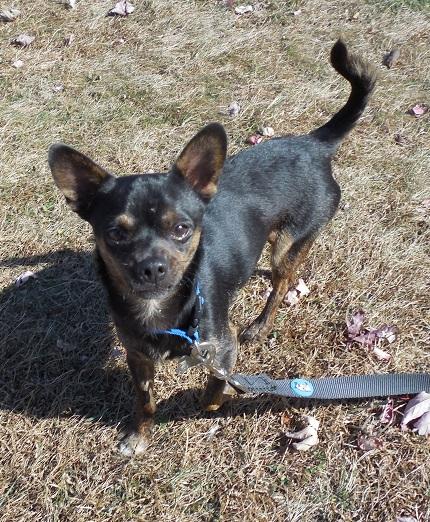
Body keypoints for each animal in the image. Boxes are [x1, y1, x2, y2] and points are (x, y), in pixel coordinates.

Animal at [48, 39, 376, 456]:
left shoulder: (223, 346)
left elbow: (216, 384)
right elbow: (145, 401)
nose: (152, 267)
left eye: (182, 229)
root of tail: (313, 144)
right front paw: (139, 435)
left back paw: (261, 327)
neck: (161, 312)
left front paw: (212, 402)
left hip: (289, 244)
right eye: (116, 234)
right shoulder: (138, 358)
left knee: (282, 283)